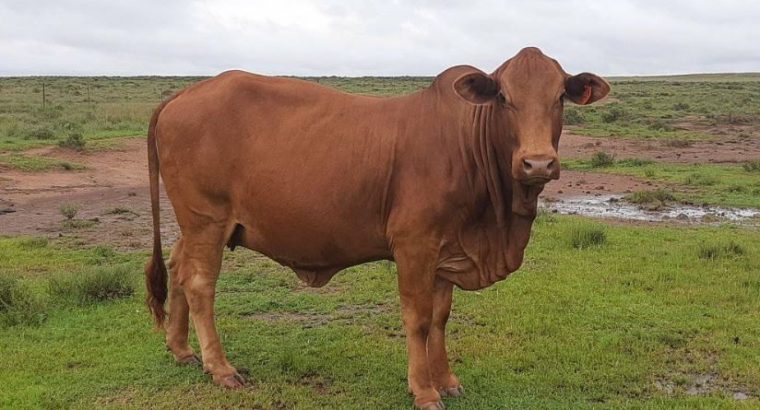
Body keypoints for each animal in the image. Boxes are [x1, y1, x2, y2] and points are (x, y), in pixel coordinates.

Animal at [145, 47, 609, 409]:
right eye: (504, 97)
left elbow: (440, 318)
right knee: (200, 284)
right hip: (207, 220)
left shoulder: (447, 251)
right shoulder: (414, 244)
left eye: (559, 98)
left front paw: (447, 380)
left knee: (179, 269)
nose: (537, 163)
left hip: (196, 226)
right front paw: (424, 391)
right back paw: (220, 367)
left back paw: (181, 349)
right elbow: (418, 318)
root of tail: (183, 94)